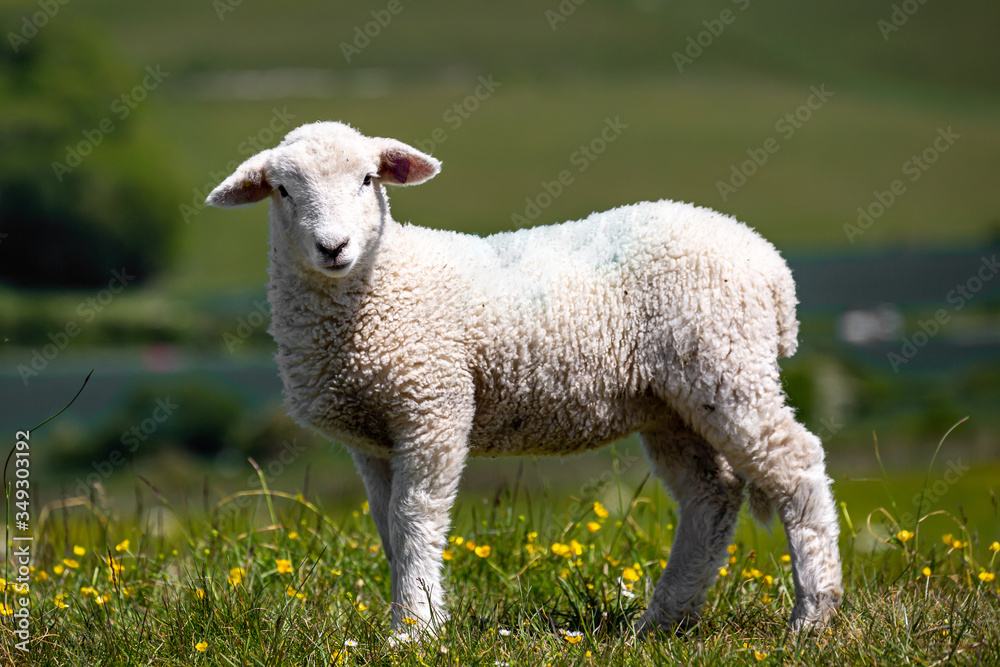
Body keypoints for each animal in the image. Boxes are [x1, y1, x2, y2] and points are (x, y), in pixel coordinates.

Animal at [206, 120, 843, 638]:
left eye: (367, 179)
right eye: (283, 190)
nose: (333, 246)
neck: (378, 285)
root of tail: (771, 268)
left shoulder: (434, 406)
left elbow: (415, 519)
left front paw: (414, 631)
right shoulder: (373, 437)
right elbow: (388, 531)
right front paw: (410, 615)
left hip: (725, 365)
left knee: (796, 465)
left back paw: (814, 616)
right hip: (672, 400)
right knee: (712, 495)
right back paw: (662, 621)